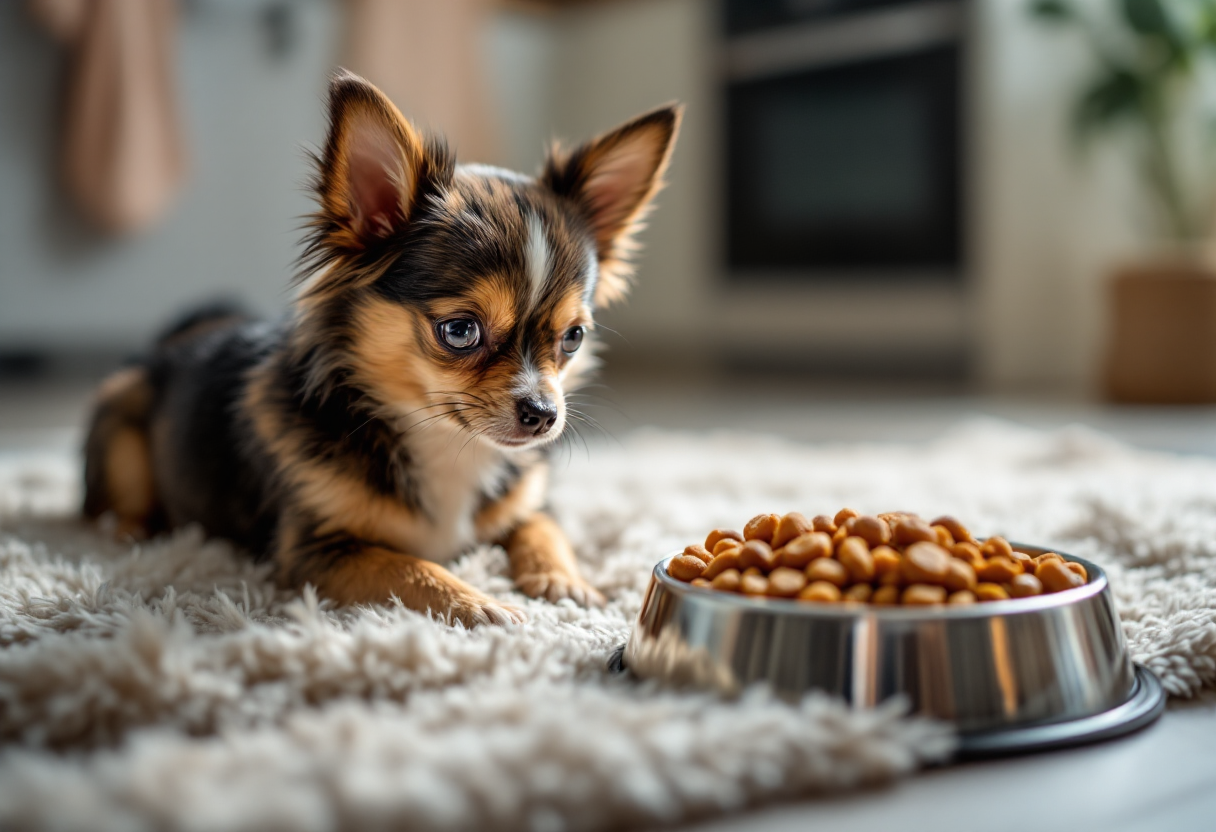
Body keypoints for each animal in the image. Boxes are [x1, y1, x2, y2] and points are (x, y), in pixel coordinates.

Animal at [80, 71, 680, 627]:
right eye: (460, 331)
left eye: (573, 337)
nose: (543, 413)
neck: (442, 443)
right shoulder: (318, 553)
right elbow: (409, 567)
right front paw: (480, 603)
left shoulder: (530, 504)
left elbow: (544, 529)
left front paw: (564, 581)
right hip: (121, 420)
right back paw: (131, 532)